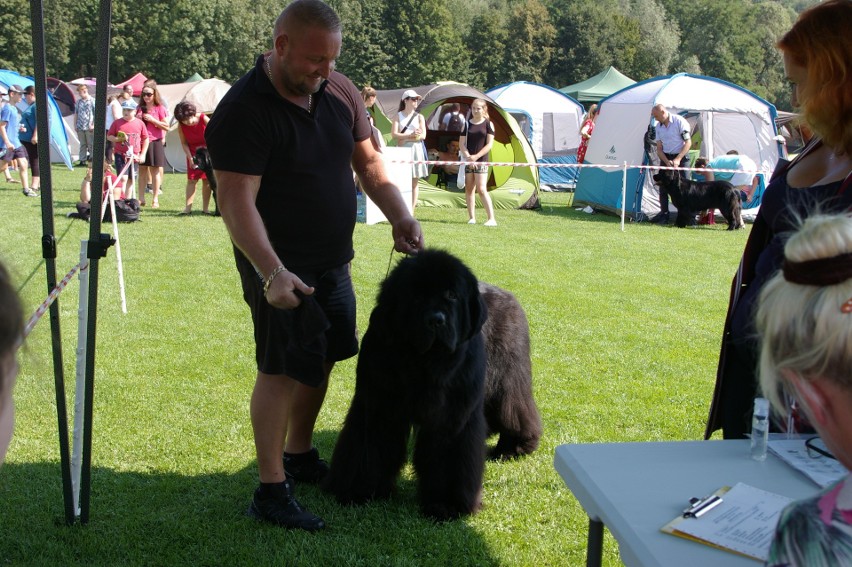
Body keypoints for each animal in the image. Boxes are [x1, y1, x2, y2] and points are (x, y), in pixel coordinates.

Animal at [322, 251, 544, 520]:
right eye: (416, 295)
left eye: (452, 294)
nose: (436, 320)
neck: (423, 361)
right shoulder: (378, 403)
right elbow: (370, 443)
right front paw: (359, 490)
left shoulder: (452, 413)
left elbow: (448, 455)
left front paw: (446, 504)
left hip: (505, 380)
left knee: (514, 408)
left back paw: (514, 446)